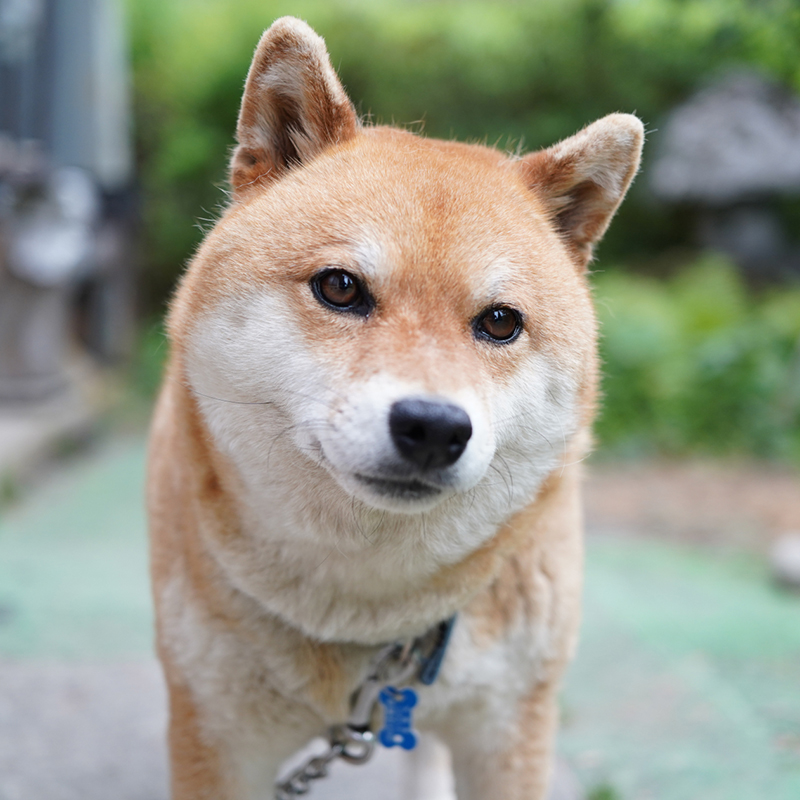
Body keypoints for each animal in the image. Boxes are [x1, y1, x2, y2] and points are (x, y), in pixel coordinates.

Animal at [147, 17, 640, 800]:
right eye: (340, 287)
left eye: (500, 322)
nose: (434, 428)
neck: (367, 615)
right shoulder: (214, 735)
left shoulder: (510, 727)